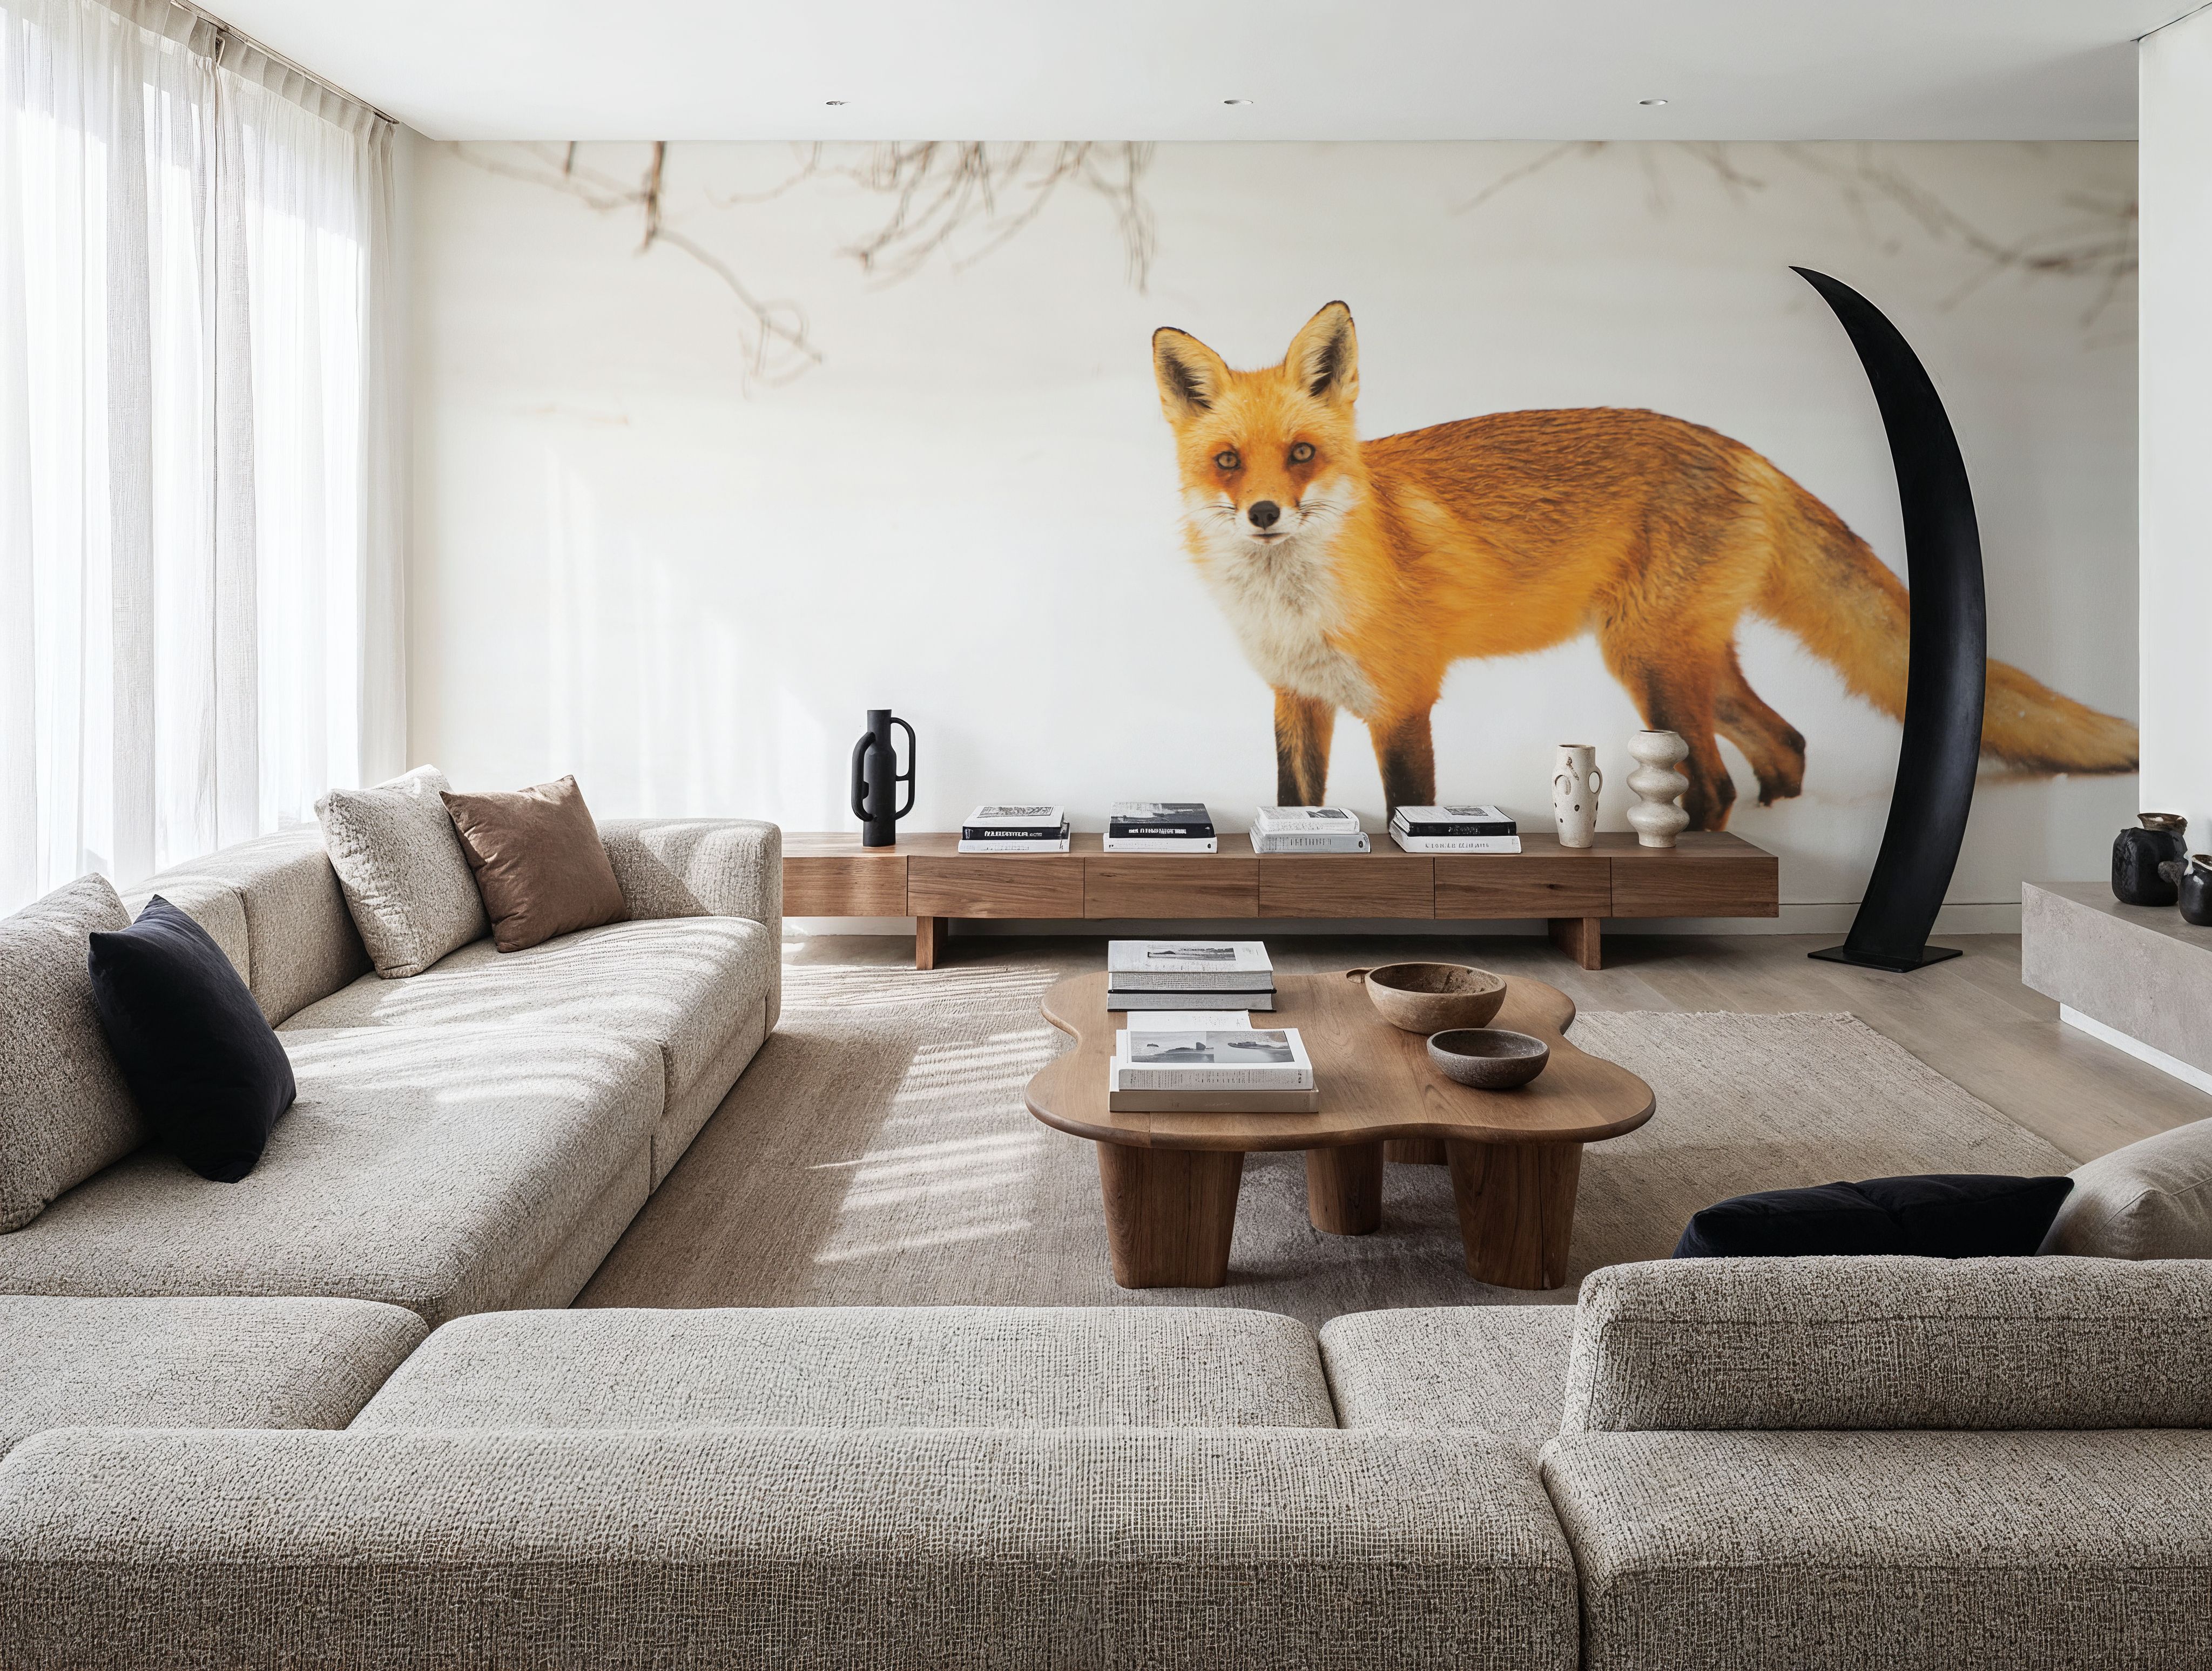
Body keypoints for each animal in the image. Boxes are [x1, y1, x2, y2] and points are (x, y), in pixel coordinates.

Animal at [1151, 300, 2138, 831]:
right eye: (1230, 462)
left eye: (1303, 455)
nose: (1266, 514)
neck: (1292, 605)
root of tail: (1743, 451)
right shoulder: (1297, 698)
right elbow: (1294, 798)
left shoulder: (1402, 701)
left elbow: (1410, 807)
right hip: (1684, 660)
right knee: (1786, 742)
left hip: (1648, 661)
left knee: (1716, 781)